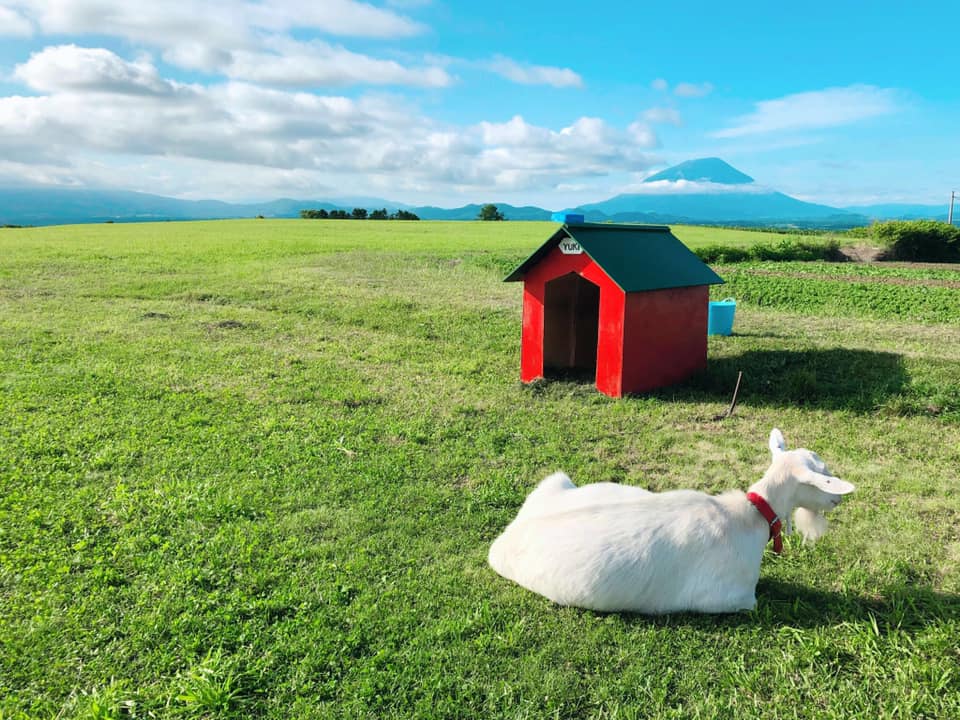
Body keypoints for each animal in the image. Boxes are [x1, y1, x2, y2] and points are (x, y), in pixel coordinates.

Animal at [488, 428, 856, 612]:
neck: (749, 517)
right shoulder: (731, 598)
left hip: (556, 481)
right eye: (823, 477)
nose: (838, 498)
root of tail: (502, 541)